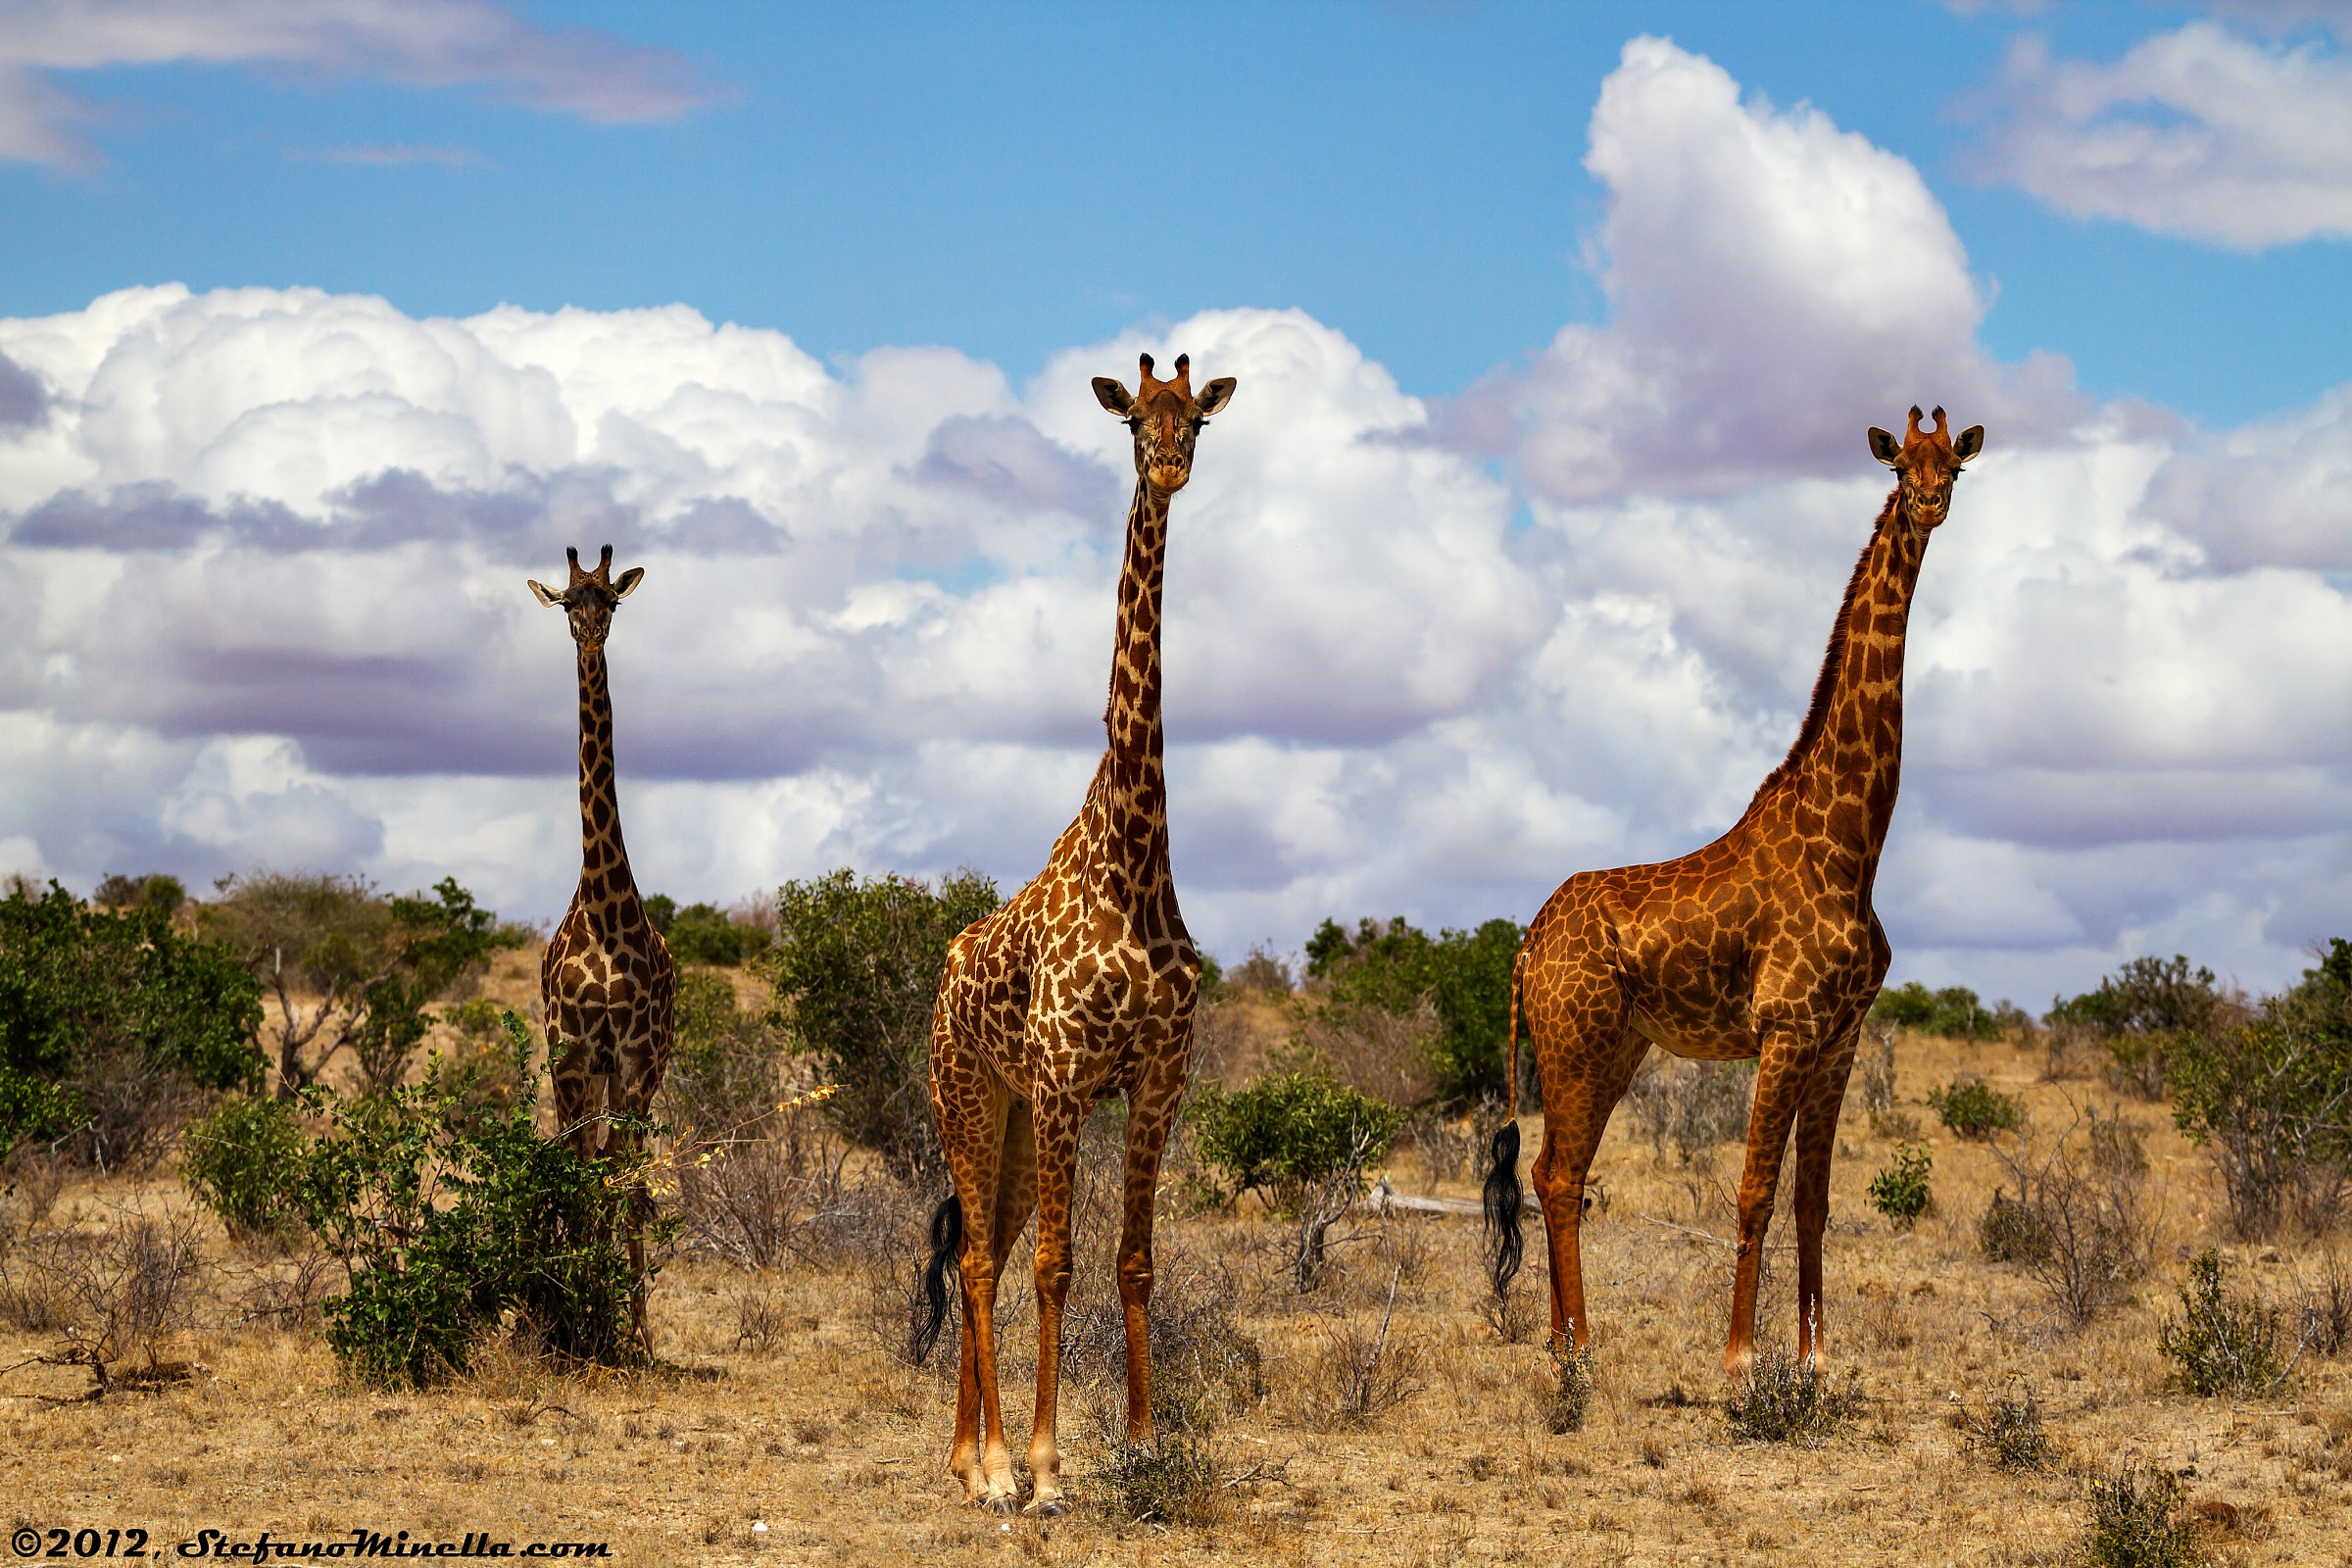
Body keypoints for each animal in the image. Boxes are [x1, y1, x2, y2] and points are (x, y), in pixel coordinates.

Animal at [913, 353, 1236, 1515]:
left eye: (1197, 419)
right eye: (1134, 420)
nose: (1172, 464)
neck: (1136, 860)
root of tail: (941, 988)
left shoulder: (1157, 1076)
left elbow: (1132, 1260)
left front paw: (1139, 1444)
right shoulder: (1062, 1075)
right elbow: (1059, 1265)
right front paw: (1051, 1472)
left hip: (1007, 1119)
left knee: (985, 1254)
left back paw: (966, 1459)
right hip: (969, 1098)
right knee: (980, 1262)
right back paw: (996, 1467)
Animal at [1482, 407, 1984, 1375]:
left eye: (1957, 466)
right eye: (1901, 465)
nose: (1931, 503)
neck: (1856, 848)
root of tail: (1525, 947)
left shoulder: (1839, 1039)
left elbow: (1812, 1201)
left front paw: (1815, 1359)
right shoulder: (1785, 1027)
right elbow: (1753, 1191)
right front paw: (1741, 1357)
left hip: (1615, 1047)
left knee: (1554, 1169)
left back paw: (1563, 1339)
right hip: (1574, 1041)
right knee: (1559, 1175)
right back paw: (1581, 1347)